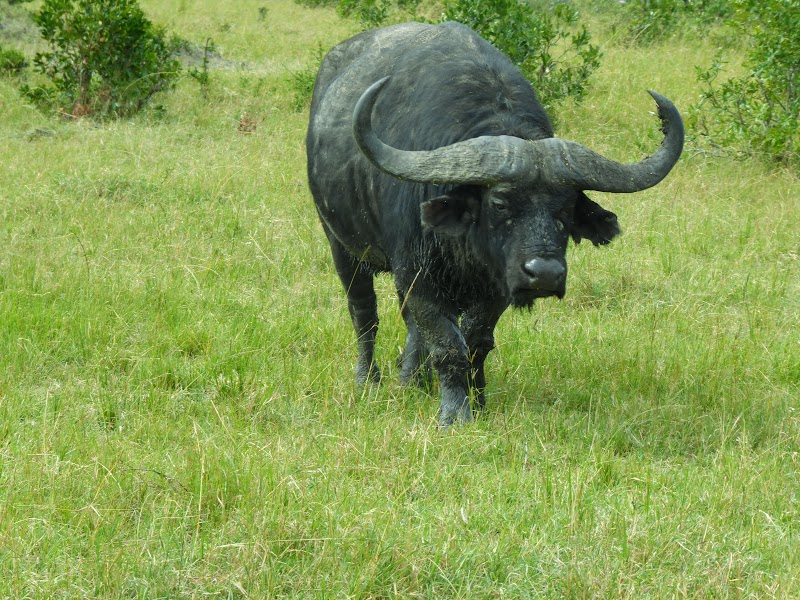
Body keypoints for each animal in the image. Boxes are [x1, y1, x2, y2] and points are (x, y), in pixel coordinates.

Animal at [306, 21, 680, 424]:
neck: (464, 244)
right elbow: (447, 344)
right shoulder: (417, 275)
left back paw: (414, 379)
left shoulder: (497, 287)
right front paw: (455, 413)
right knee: (364, 313)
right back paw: (368, 379)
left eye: (566, 210)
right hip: (342, 246)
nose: (544, 273)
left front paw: (478, 400)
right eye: (500, 203)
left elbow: (475, 342)